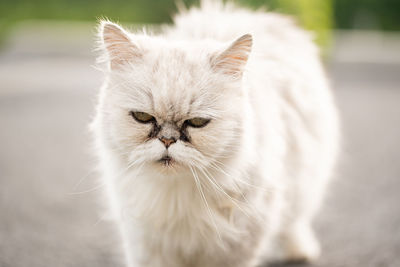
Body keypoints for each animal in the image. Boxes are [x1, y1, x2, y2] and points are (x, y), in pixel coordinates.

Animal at [92, 0, 340, 267]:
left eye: (198, 122)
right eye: (142, 117)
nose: (168, 140)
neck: (178, 194)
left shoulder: (240, 243)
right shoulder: (146, 244)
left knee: (295, 221)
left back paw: (300, 251)